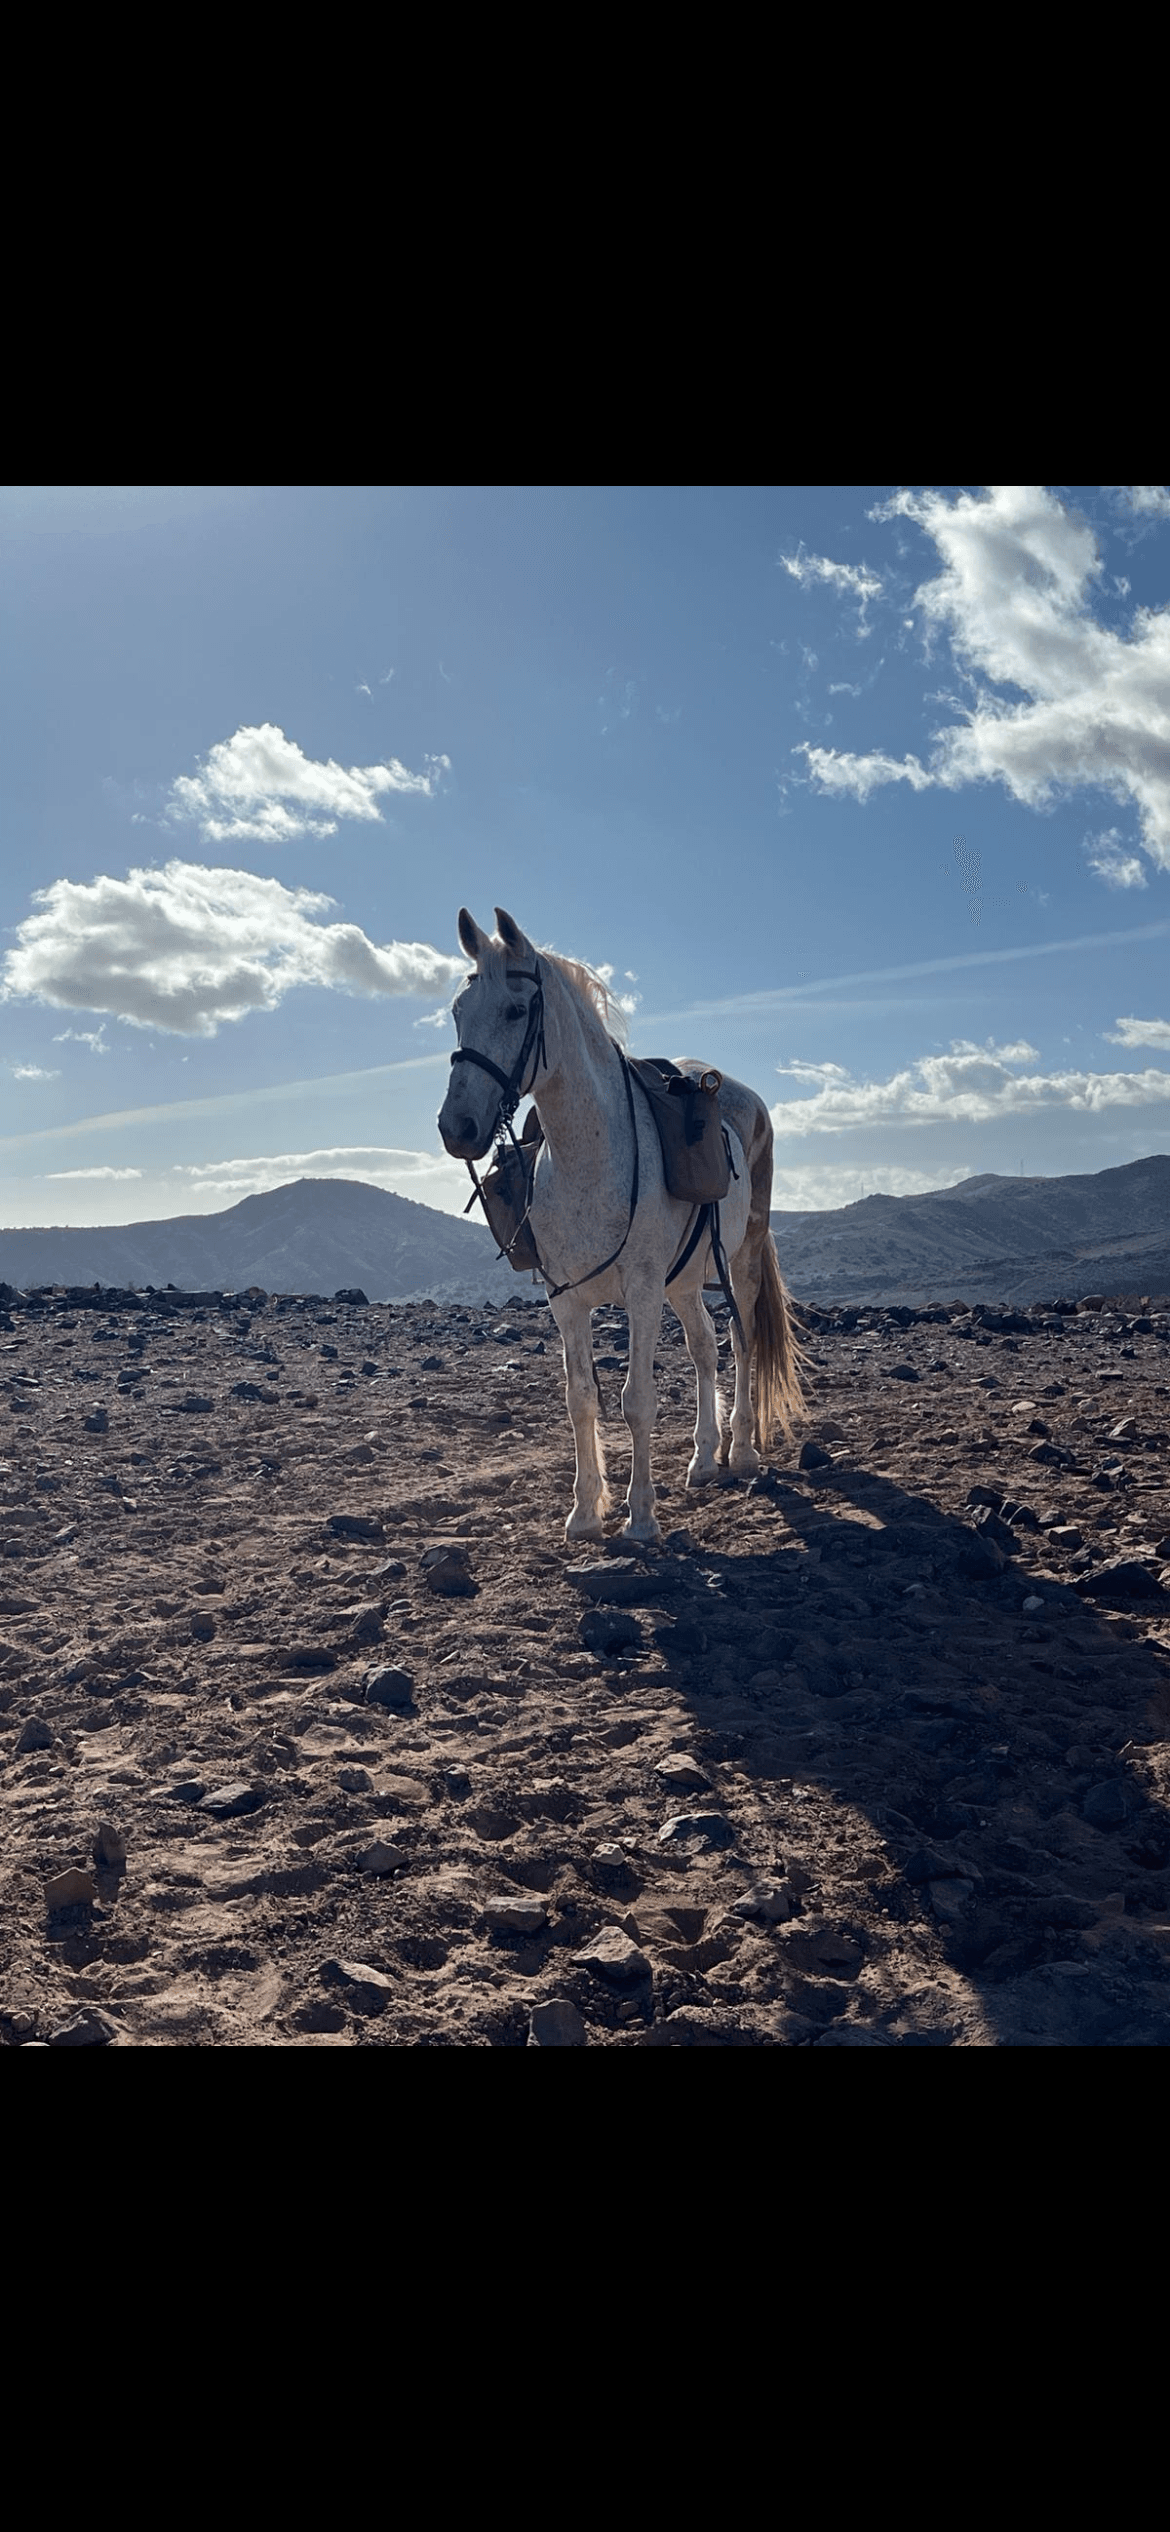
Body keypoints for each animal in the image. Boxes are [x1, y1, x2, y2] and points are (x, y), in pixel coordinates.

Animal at [438, 906, 807, 1546]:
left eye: (515, 1010)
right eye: (459, 1012)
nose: (455, 1126)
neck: (590, 1160)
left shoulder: (640, 1293)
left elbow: (637, 1400)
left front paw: (640, 1515)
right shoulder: (566, 1301)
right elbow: (581, 1399)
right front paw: (586, 1512)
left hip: (739, 1262)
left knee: (740, 1341)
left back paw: (740, 1453)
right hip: (682, 1283)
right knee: (704, 1347)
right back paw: (703, 1458)